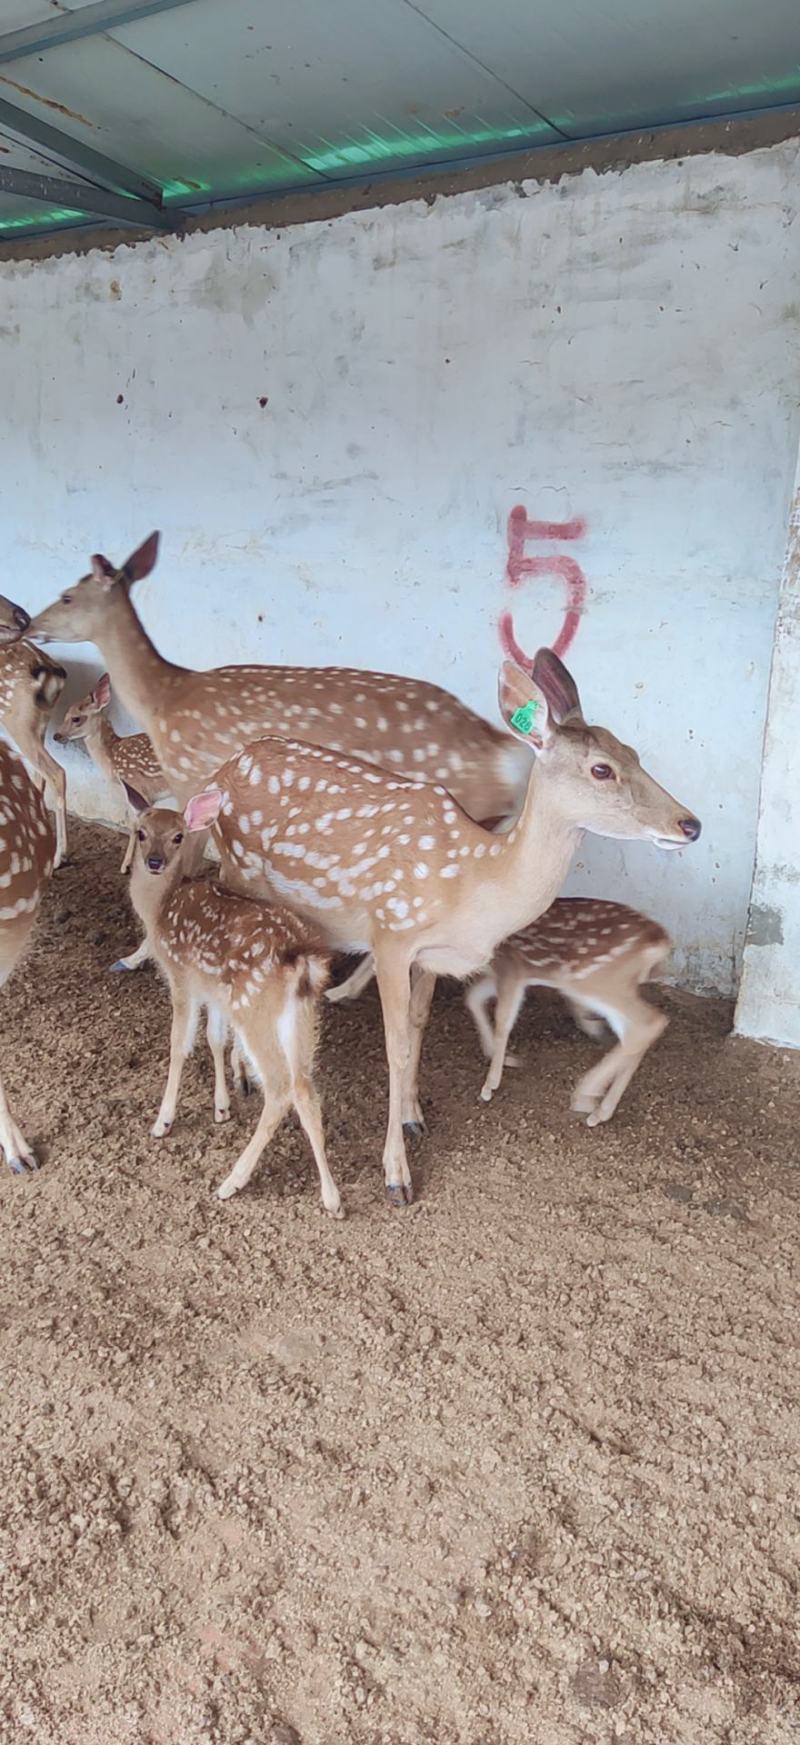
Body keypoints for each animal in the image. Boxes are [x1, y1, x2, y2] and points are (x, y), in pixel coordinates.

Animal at [54, 673, 170, 873]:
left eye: (76, 718)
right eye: (65, 714)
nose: (56, 735)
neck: (111, 759)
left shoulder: (138, 787)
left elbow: (134, 825)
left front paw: (126, 866)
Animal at [122, 783, 343, 1218]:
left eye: (178, 836)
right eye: (141, 832)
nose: (154, 861)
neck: (159, 909)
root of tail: (301, 958)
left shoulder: (182, 977)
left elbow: (180, 1045)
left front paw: (163, 1121)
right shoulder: (214, 992)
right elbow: (215, 1039)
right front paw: (222, 1107)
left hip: (254, 1007)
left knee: (280, 1088)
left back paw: (232, 1181)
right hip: (301, 1015)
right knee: (305, 1088)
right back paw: (332, 1197)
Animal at [464, 898, 671, 1125]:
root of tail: (659, 939)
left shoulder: (512, 968)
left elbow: (503, 1020)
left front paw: (490, 1085)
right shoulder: (498, 974)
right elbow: (473, 998)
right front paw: (496, 1054)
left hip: (595, 979)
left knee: (649, 1023)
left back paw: (585, 1096)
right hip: (612, 984)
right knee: (633, 1032)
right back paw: (600, 1111)